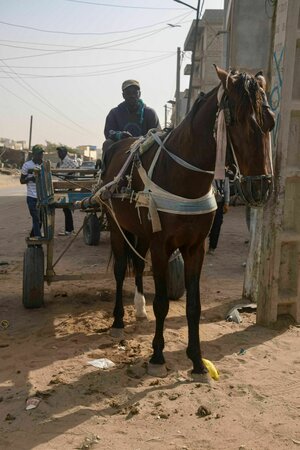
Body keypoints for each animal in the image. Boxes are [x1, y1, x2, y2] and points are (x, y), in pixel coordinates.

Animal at [98, 65, 274, 378]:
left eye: (271, 123)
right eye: (237, 121)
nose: (261, 187)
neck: (182, 178)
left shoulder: (195, 247)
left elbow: (194, 306)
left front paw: (197, 361)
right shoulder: (161, 245)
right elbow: (162, 303)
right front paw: (157, 356)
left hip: (142, 232)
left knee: (138, 265)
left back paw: (139, 308)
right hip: (119, 227)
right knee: (120, 270)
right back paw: (118, 320)